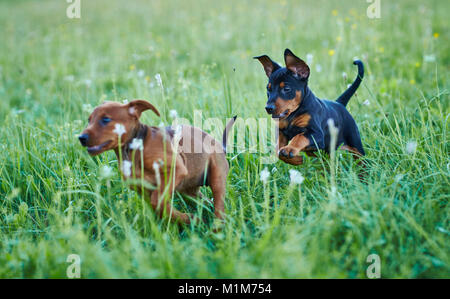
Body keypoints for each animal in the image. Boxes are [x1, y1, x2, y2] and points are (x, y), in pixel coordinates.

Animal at [79, 101, 237, 225]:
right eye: (89, 120)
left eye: (105, 119)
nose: (81, 138)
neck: (134, 150)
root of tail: (221, 147)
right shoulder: (143, 190)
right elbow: (159, 207)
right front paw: (188, 219)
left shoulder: (176, 171)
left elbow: (157, 201)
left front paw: (186, 218)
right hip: (188, 190)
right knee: (206, 201)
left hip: (216, 178)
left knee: (218, 206)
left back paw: (217, 228)